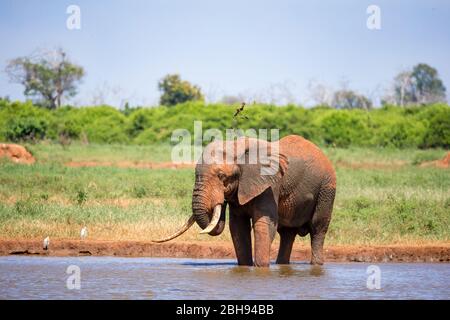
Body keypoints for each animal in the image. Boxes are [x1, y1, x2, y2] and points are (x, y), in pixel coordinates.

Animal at [153, 135, 336, 268]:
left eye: (222, 176)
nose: (220, 201)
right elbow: (238, 226)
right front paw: (244, 268)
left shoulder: (269, 185)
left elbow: (264, 224)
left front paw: (260, 268)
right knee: (287, 233)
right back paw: (282, 266)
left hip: (326, 190)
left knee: (318, 228)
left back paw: (316, 265)